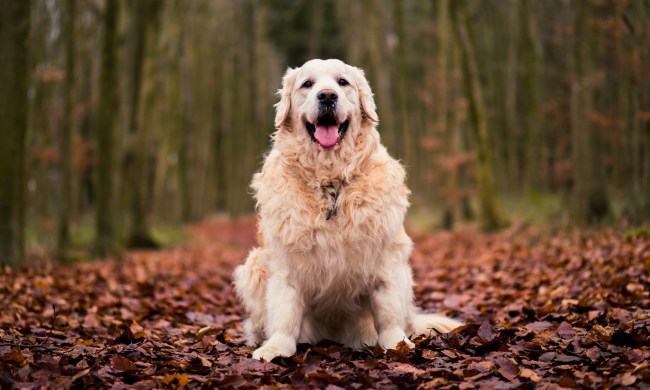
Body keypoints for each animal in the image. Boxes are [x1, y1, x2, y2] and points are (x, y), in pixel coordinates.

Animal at [233, 59, 460, 362]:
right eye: (307, 84)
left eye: (343, 82)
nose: (327, 96)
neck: (330, 182)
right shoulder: (285, 264)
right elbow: (285, 312)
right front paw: (275, 347)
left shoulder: (387, 259)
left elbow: (388, 312)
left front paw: (397, 344)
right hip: (254, 264)